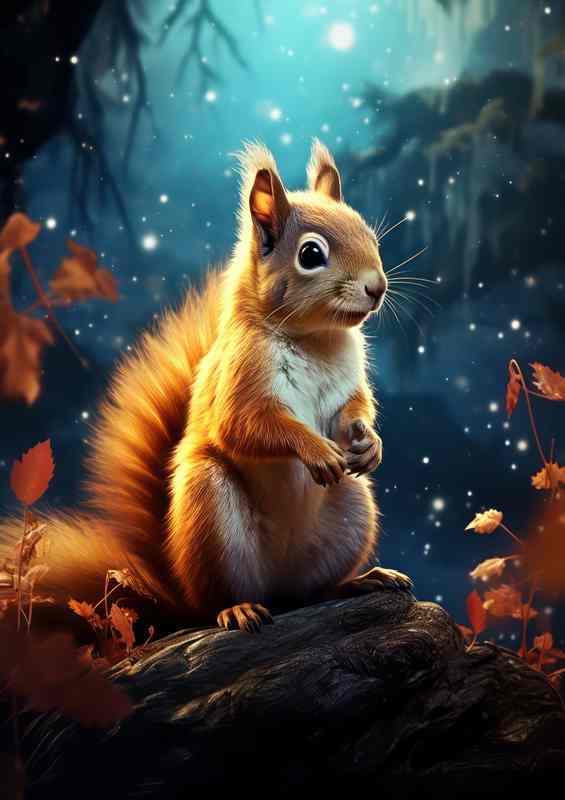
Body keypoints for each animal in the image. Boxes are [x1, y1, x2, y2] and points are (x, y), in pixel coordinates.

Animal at [1, 140, 412, 635]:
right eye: (311, 254)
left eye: (370, 236)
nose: (377, 287)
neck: (316, 340)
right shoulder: (239, 379)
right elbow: (248, 426)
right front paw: (316, 449)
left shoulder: (350, 382)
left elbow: (355, 408)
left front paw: (370, 443)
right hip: (209, 509)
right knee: (221, 596)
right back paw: (237, 609)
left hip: (353, 507)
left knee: (313, 592)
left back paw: (359, 580)